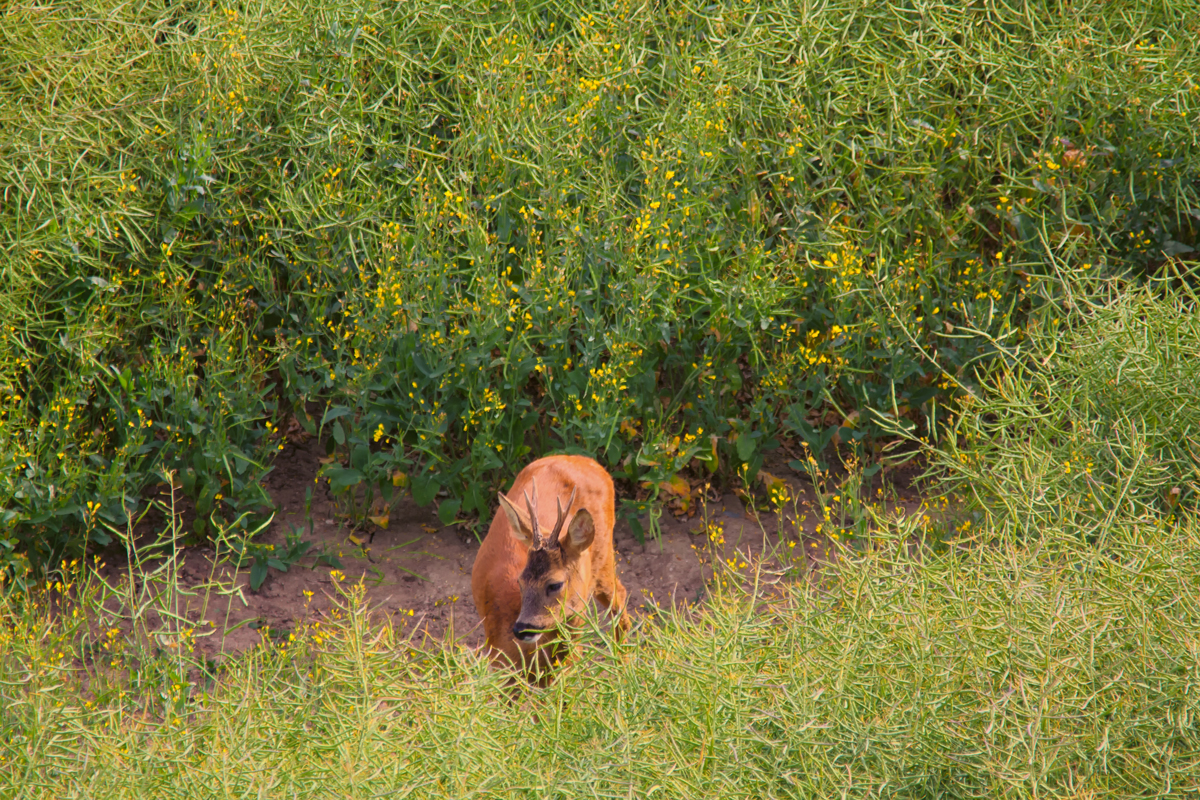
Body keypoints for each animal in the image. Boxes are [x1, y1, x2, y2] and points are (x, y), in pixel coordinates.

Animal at [470, 453, 633, 686]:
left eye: (555, 584)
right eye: (520, 581)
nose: (522, 629)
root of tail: (586, 460)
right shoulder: (500, 659)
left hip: (602, 559)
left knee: (619, 597)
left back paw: (624, 670)